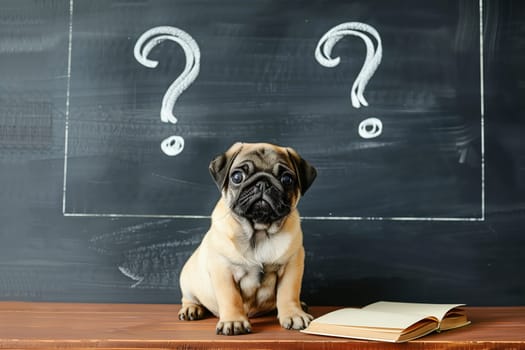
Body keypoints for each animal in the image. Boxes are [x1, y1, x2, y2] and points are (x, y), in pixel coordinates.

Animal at [178, 143, 316, 336]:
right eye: (237, 177)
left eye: (287, 179)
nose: (263, 183)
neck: (259, 231)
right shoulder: (224, 270)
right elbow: (231, 297)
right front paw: (234, 321)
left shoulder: (292, 265)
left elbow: (288, 292)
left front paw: (294, 314)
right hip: (188, 280)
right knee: (189, 298)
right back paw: (191, 309)